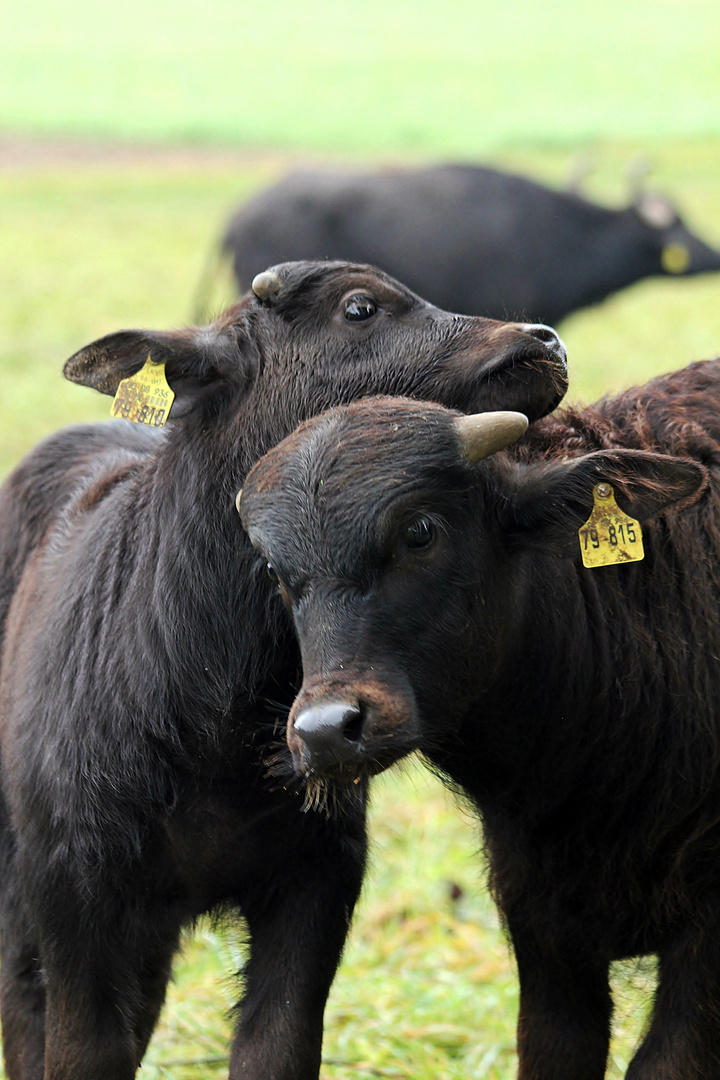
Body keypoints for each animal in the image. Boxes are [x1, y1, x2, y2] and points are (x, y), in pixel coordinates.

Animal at [0, 261, 569, 1080]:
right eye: (358, 308)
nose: (543, 342)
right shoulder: (70, 890)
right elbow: (79, 1050)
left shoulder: (316, 879)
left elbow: (276, 1047)